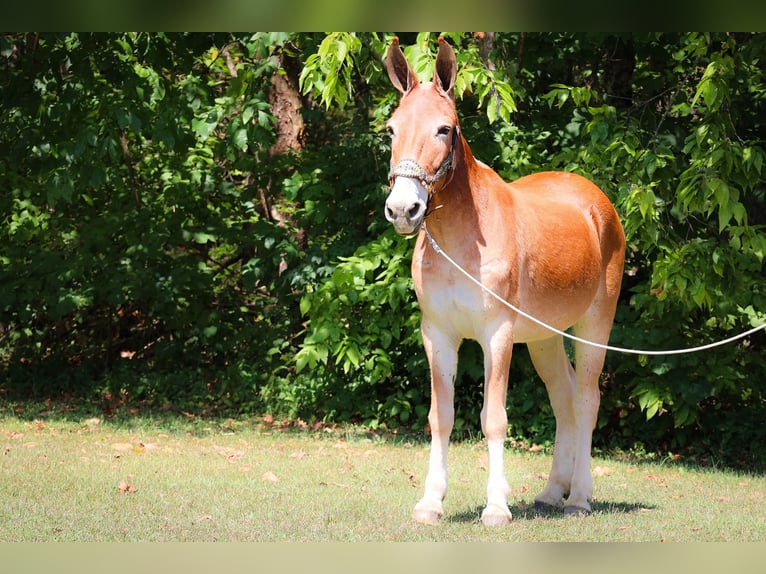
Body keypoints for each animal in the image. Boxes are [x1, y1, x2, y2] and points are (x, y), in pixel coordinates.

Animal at [388, 39, 628, 528]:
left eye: (444, 129)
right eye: (391, 130)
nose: (403, 210)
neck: (462, 242)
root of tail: (598, 204)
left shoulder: (496, 335)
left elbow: (494, 417)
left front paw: (496, 506)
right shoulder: (438, 335)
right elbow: (441, 416)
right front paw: (430, 502)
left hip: (595, 326)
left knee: (586, 399)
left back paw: (579, 497)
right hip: (543, 339)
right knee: (563, 399)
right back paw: (553, 492)